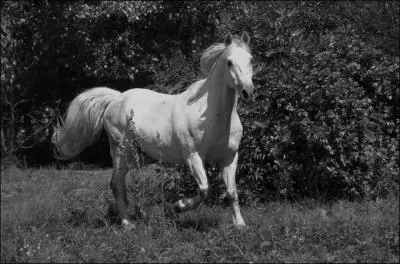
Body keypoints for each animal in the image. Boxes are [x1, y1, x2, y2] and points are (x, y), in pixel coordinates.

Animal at [52, 31, 253, 229]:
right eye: (229, 62)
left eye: (251, 59)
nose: (248, 91)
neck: (211, 116)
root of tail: (116, 99)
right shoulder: (193, 156)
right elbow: (204, 189)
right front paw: (177, 206)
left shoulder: (229, 157)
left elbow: (232, 191)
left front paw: (240, 224)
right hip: (120, 150)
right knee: (117, 183)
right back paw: (127, 224)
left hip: (138, 157)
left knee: (117, 182)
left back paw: (122, 213)